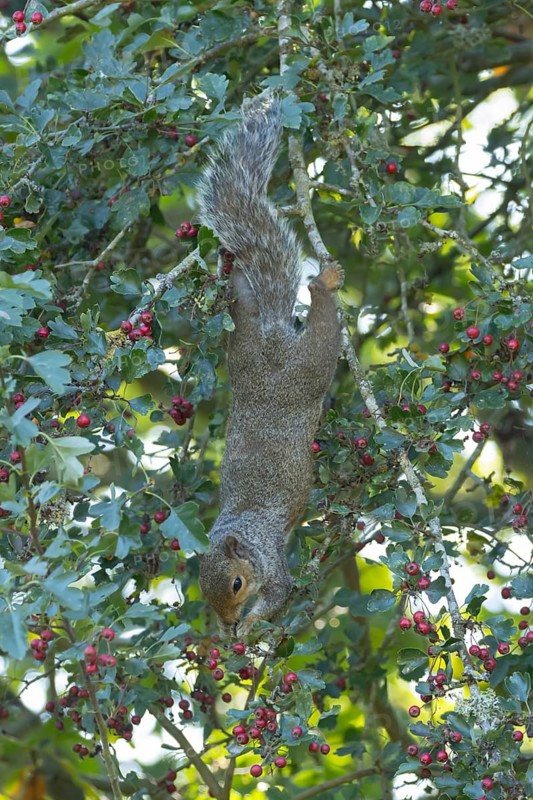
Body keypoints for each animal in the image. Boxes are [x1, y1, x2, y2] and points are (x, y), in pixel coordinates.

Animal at [196, 93, 343, 637]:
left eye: (236, 584)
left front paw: (253, 625)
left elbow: (279, 595)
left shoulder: (272, 560)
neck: (241, 528)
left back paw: (323, 284)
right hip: (242, 348)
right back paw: (231, 270)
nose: (229, 623)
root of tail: (275, 345)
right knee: (243, 303)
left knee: (324, 331)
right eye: (206, 596)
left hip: (308, 369)